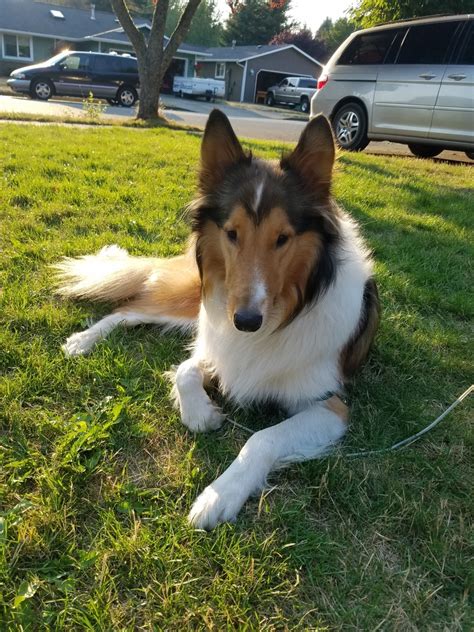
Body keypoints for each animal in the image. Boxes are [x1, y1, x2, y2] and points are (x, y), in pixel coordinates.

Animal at [55, 109, 379, 530]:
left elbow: (263, 437)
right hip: (194, 298)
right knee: (126, 308)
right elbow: (184, 371)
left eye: (283, 238)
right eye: (231, 233)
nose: (246, 321)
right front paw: (202, 415)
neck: (283, 313)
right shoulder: (220, 344)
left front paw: (218, 495)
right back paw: (82, 341)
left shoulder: (329, 405)